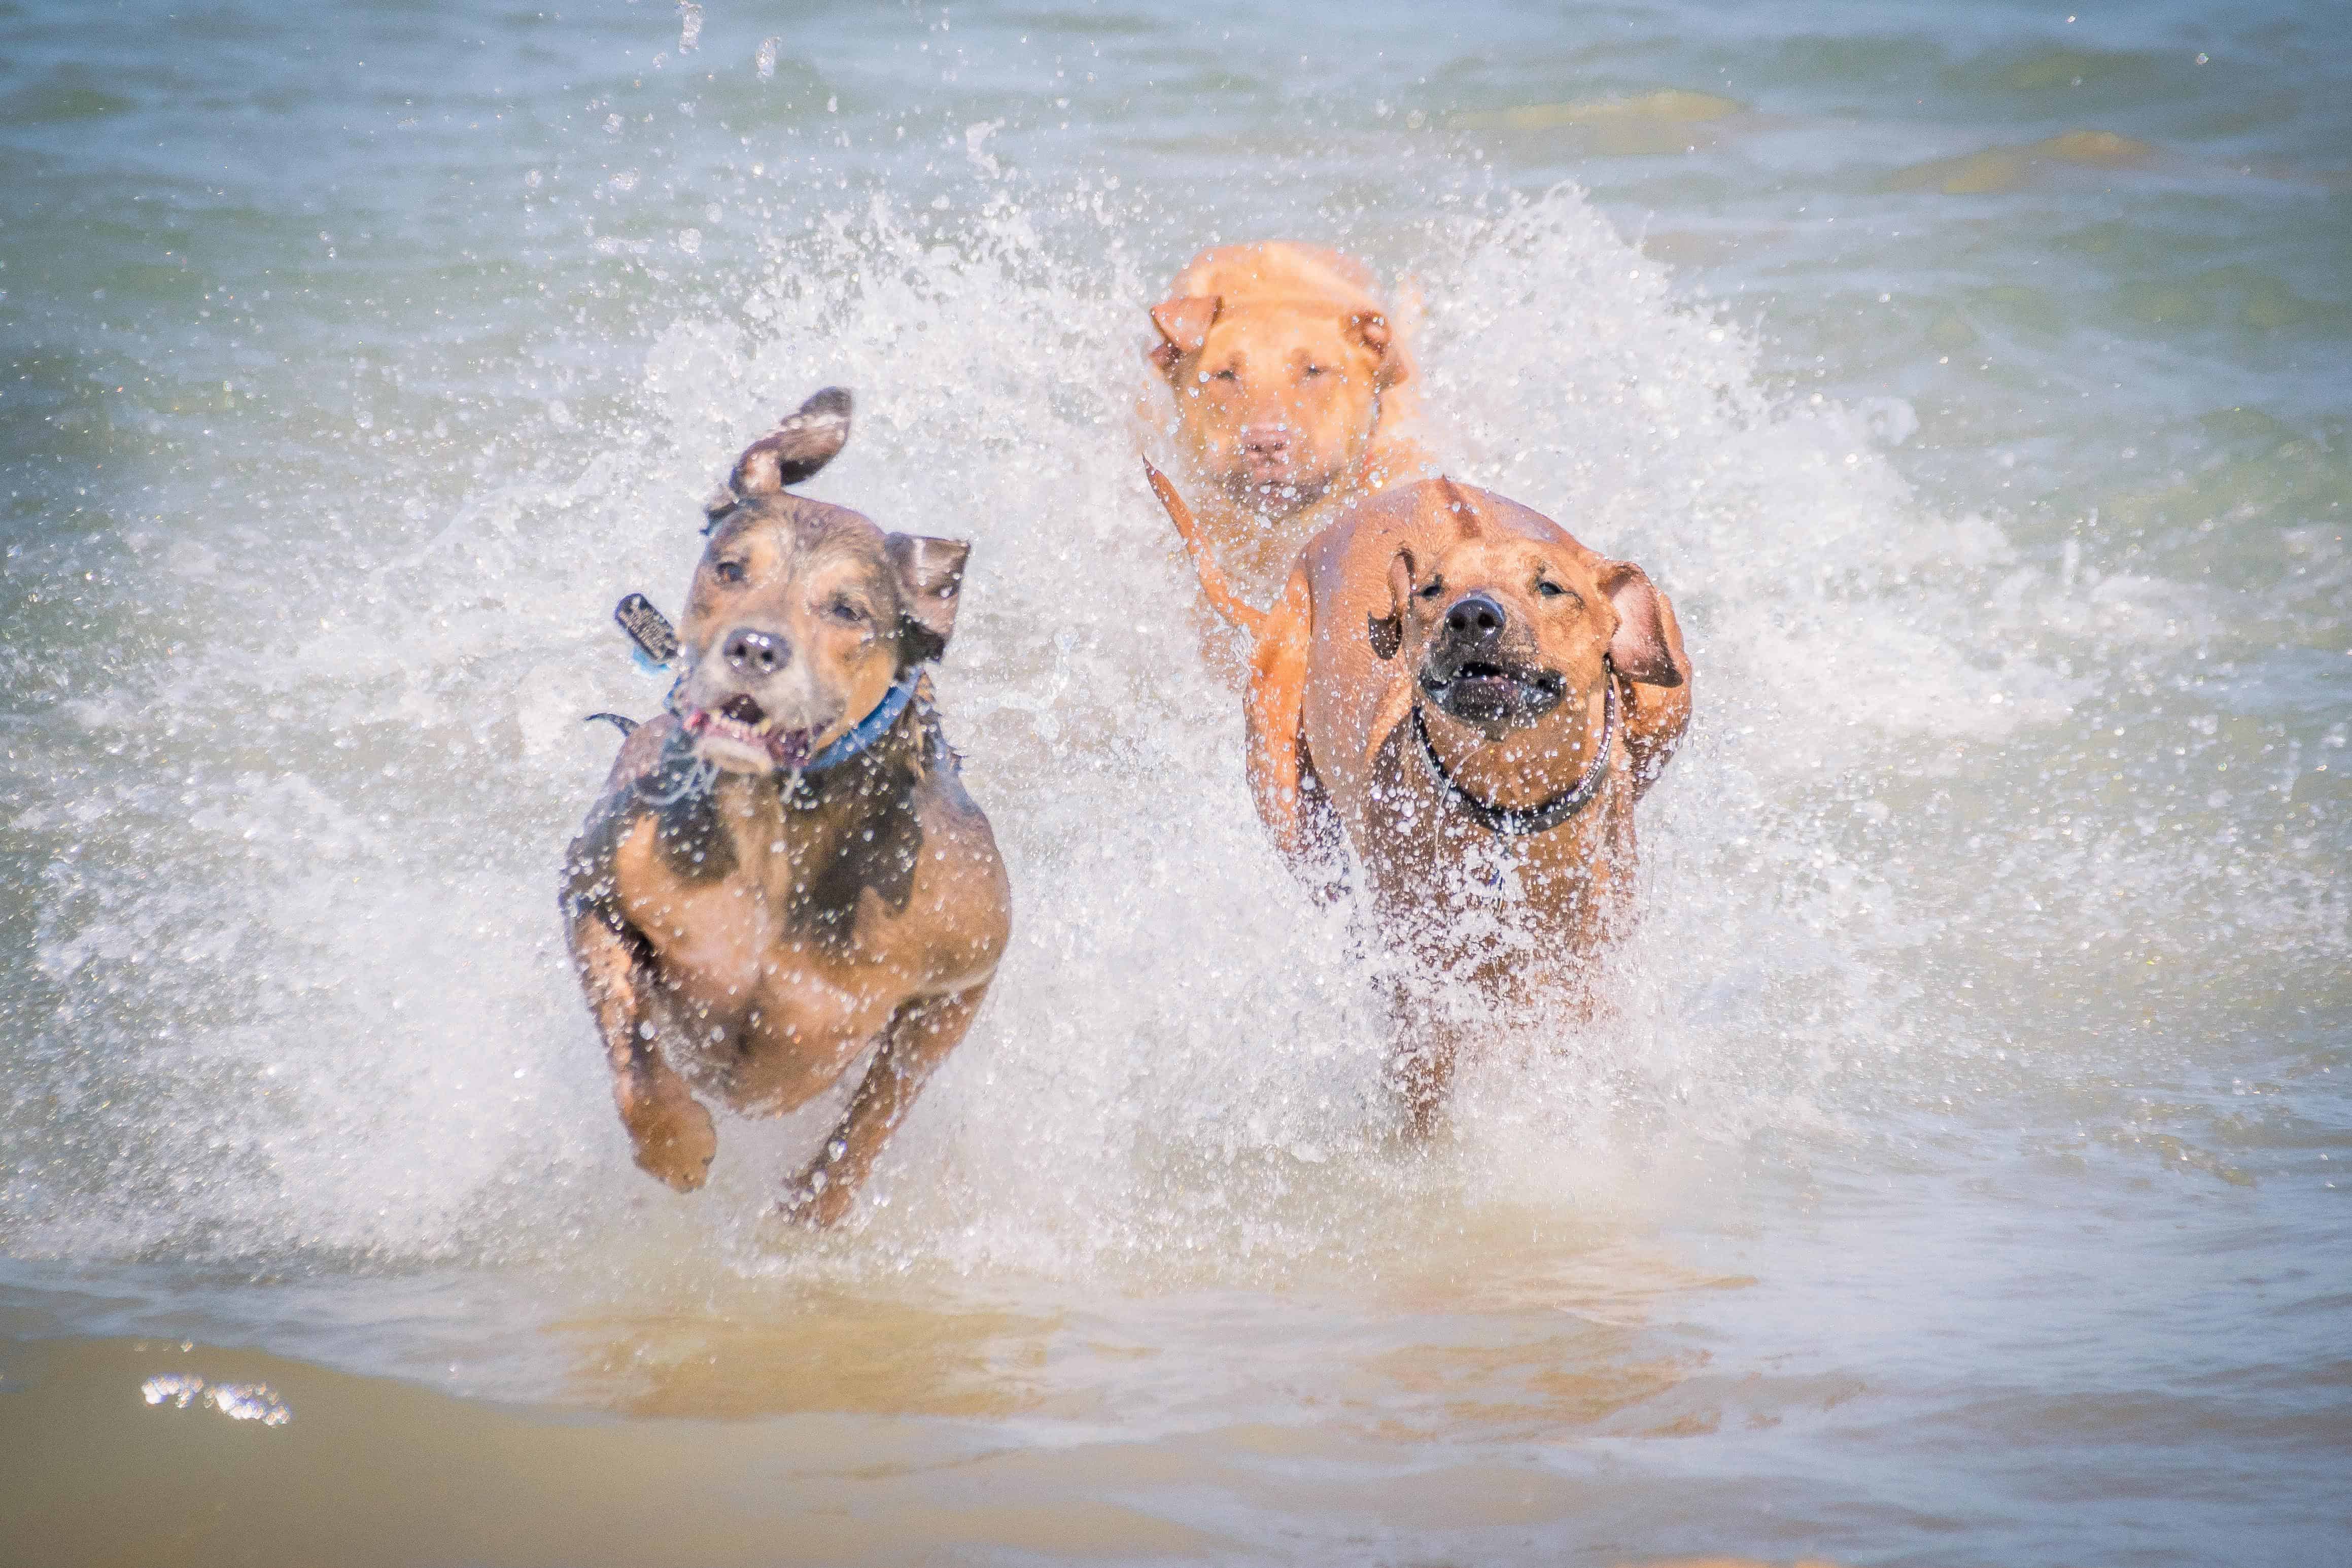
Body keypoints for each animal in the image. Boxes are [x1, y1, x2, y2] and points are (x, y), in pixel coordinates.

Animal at [1143, 465, 1684, 1128]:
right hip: (1292, 803)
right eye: (1431, 590)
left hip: (1666, 700)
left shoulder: (1584, 970)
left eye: (1550, 587)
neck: (1507, 803)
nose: (1471, 615)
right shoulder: (1429, 989)